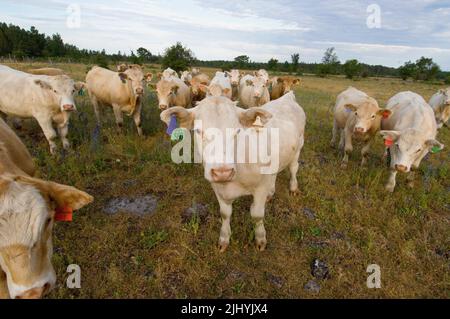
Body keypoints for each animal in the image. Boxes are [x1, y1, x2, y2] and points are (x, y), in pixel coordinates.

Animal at [161, 92, 306, 252]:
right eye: (198, 130)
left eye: (237, 130)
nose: (222, 172)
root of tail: (287, 97)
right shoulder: (218, 187)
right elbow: (225, 214)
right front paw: (224, 239)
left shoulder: (260, 186)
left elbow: (257, 215)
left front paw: (260, 239)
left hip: (299, 147)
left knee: (293, 168)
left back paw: (293, 188)